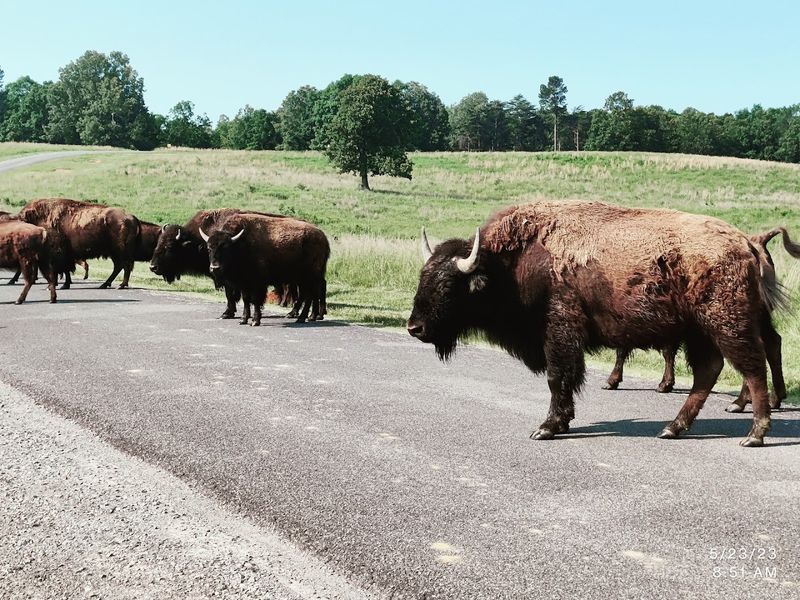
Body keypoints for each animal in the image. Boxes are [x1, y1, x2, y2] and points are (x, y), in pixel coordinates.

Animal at [408, 200, 794, 447]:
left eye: (448, 286)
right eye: (422, 278)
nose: (414, 328)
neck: (512, 265)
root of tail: (746, 244)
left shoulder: (559, 334)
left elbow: (557, 378)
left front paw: (547, 428)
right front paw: (561, 422)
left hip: (727, 326)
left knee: (752, 368)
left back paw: (754, 433)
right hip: (700, 332)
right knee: (709, 372)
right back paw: (673, 428)